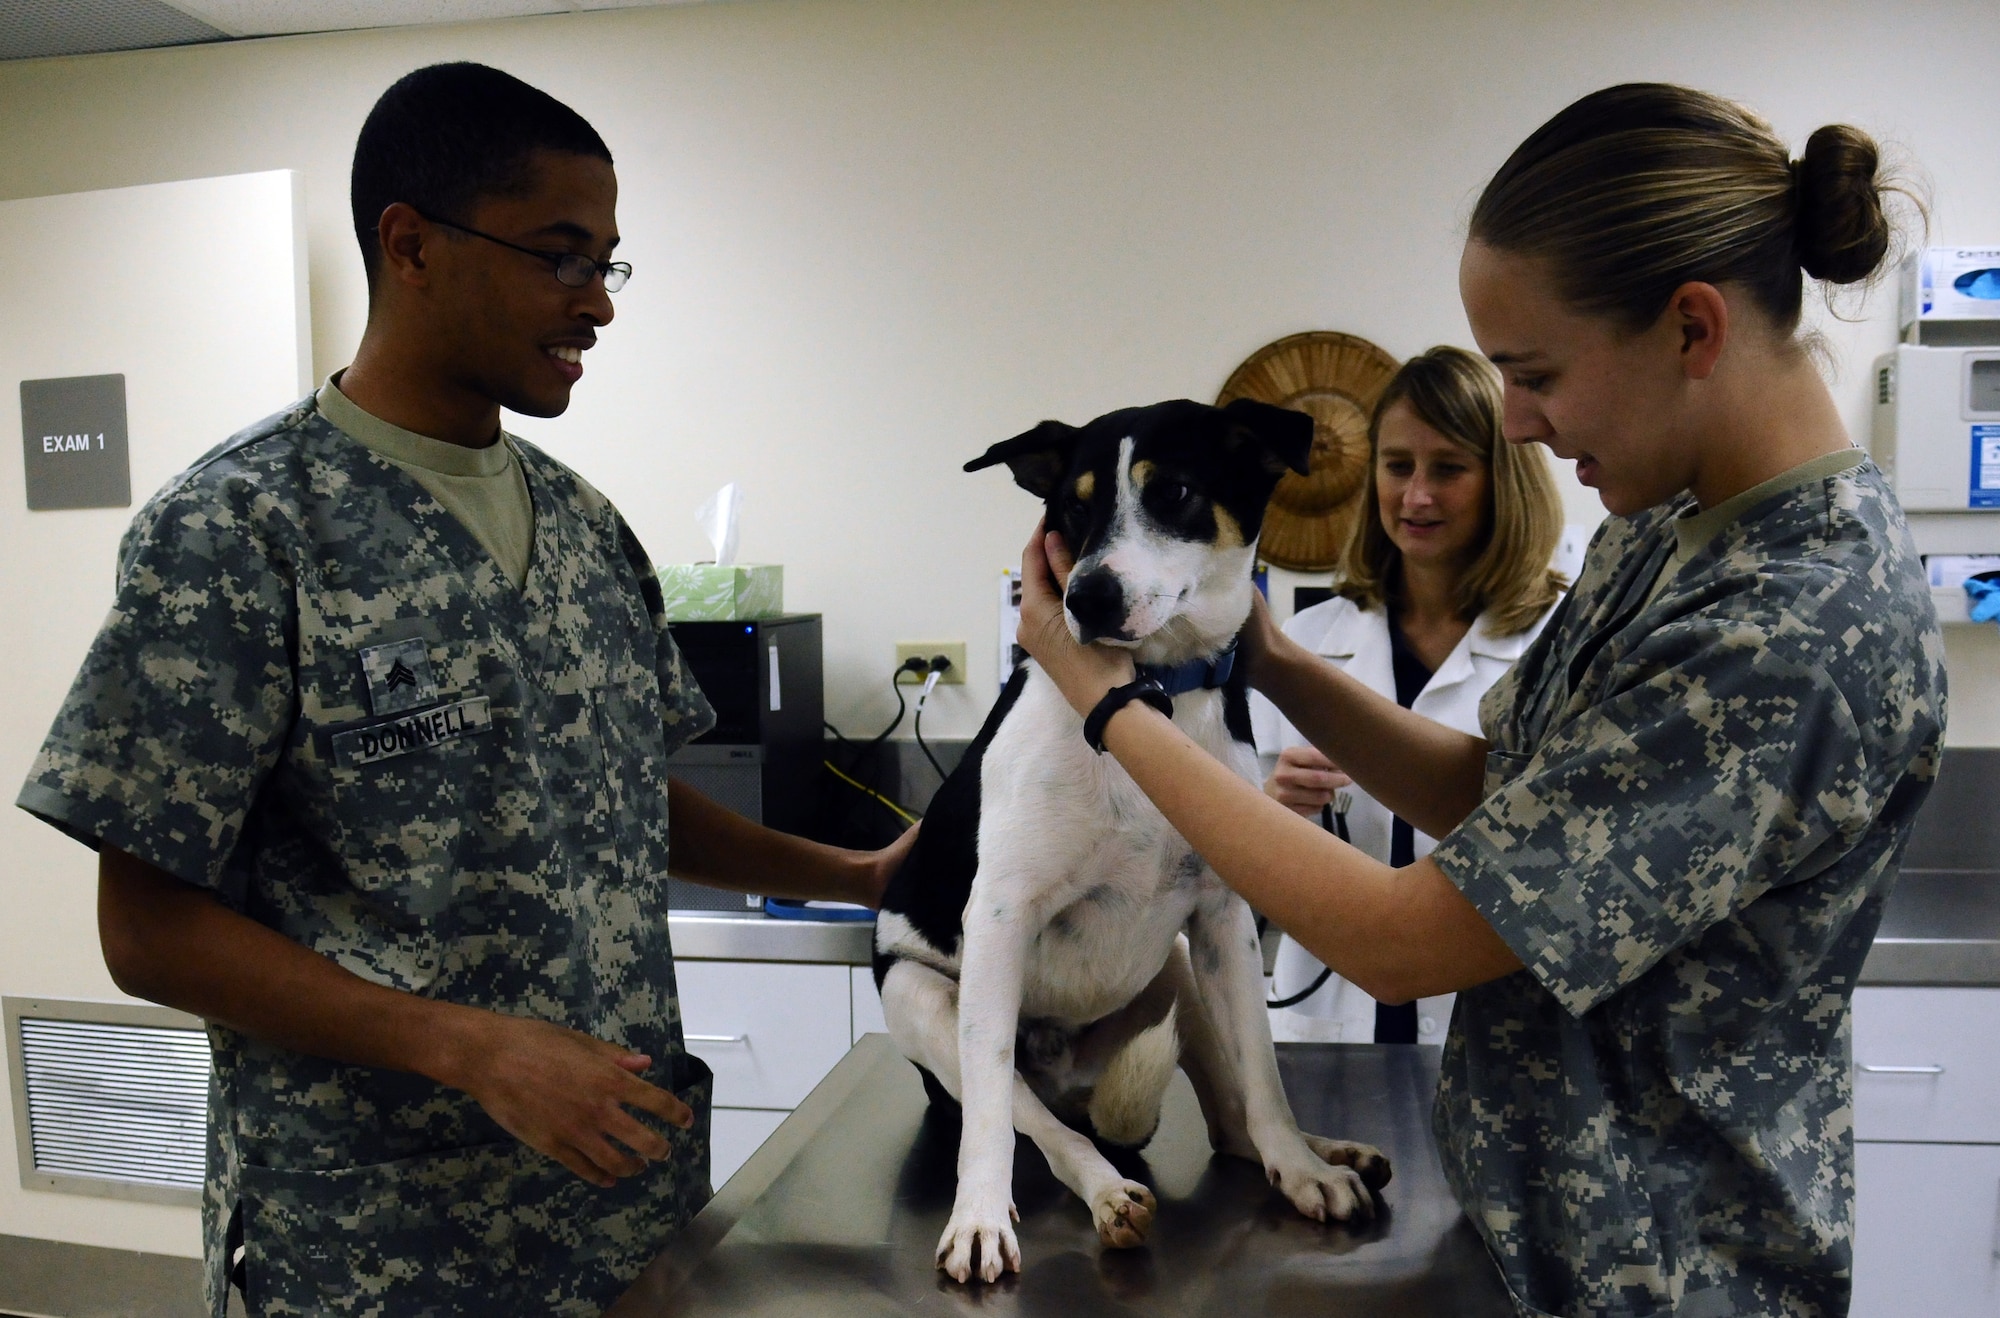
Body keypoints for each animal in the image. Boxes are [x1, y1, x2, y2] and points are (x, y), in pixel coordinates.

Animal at [876, 398, 1392, 1280]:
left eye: (1174, 492)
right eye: (1072, 508)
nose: (1085, 598)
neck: (1155, 699)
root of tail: (1074, 1077)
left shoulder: (1224, 919)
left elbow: (1264, 1076)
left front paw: (1303, 1169)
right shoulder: (999, 918)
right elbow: (993, 1119)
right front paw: (977, 1217)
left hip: (1182, 968)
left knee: (1229, 1118)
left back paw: (1320, 1154)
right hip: (921, 998)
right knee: (1034, 1125)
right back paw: (1105, 1191)